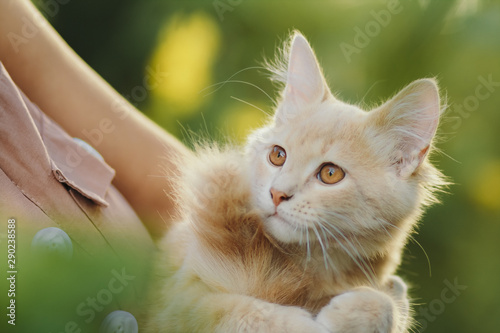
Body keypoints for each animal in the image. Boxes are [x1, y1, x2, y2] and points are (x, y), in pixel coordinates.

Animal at [145, 31, 446, 332]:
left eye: (330, 174)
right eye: (277, 156)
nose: (277, 194)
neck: (300, 266)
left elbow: (391, 304)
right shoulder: (175, 300)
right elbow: (238, 312)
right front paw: (304, 323)